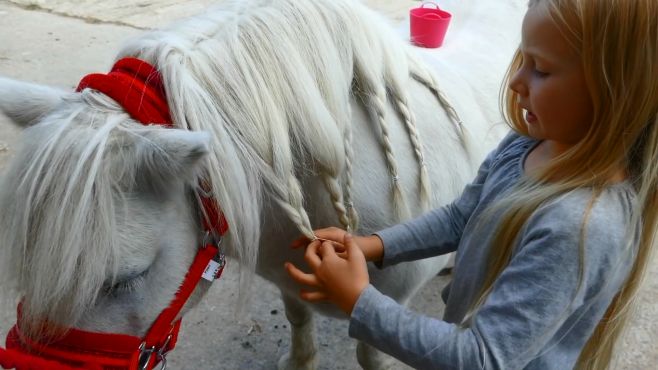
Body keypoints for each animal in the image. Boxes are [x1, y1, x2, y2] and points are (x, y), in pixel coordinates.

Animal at [0, 0, 524, 368]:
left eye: (127, 278)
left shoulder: (389, 307)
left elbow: (372, 351)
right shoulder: (287, 274)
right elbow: (297, 317)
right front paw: (300, 361)